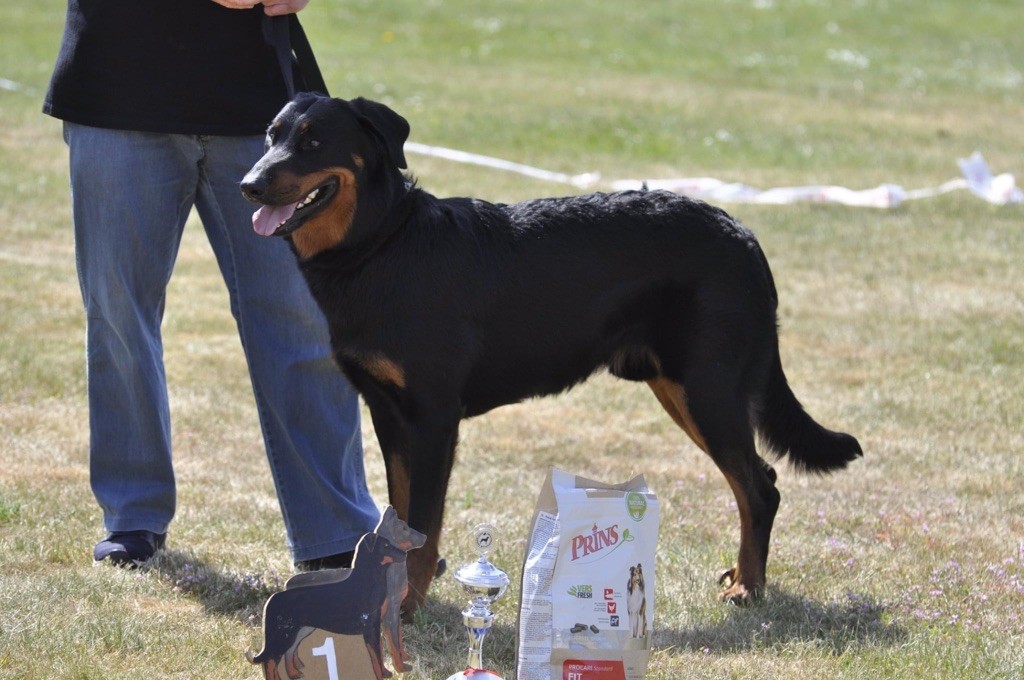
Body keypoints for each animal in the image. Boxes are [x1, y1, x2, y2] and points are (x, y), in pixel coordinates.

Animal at [239, 94, 864, 614]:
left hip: (707, 389)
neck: (379, 245)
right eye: (270, 137)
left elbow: (424, 526)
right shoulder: (388, 415)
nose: (248, 184)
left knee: (760, 486)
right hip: (679, 388)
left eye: (314, 142)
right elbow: (401, 515)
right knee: (757, 482)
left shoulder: (433, 419)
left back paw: (749, 587)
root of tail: (743, 233)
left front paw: (408, 606)